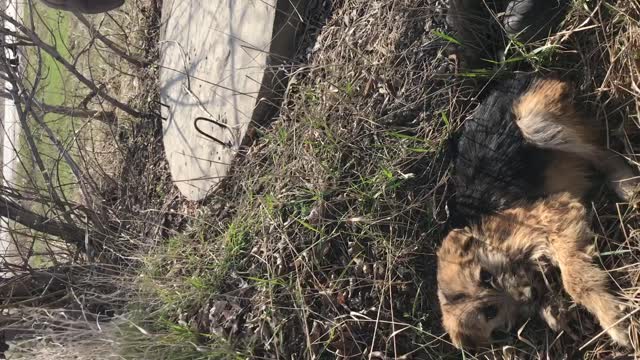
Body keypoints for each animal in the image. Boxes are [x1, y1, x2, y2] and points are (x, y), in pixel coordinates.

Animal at [438, 78, 636, 348]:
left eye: (485, 276)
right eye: (490, 313)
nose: (529, 293)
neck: (486, 235)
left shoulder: (554, 216)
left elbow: (574, 281)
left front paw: (615, 322)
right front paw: (553, 314)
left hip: (533, 120)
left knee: (602, 152)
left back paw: (628, 185)